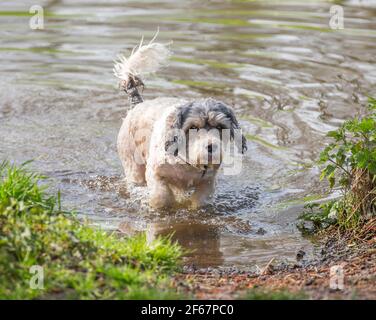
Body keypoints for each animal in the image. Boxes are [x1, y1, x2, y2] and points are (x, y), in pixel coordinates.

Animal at [114, 35, 247, 210]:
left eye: (220, 127)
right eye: (193, 127)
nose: (211, 146)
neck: (187, 163)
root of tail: (137, 104)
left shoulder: (208, 182)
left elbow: (199, 201)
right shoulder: (155, 173)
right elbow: (161, 197)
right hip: (133, 166)